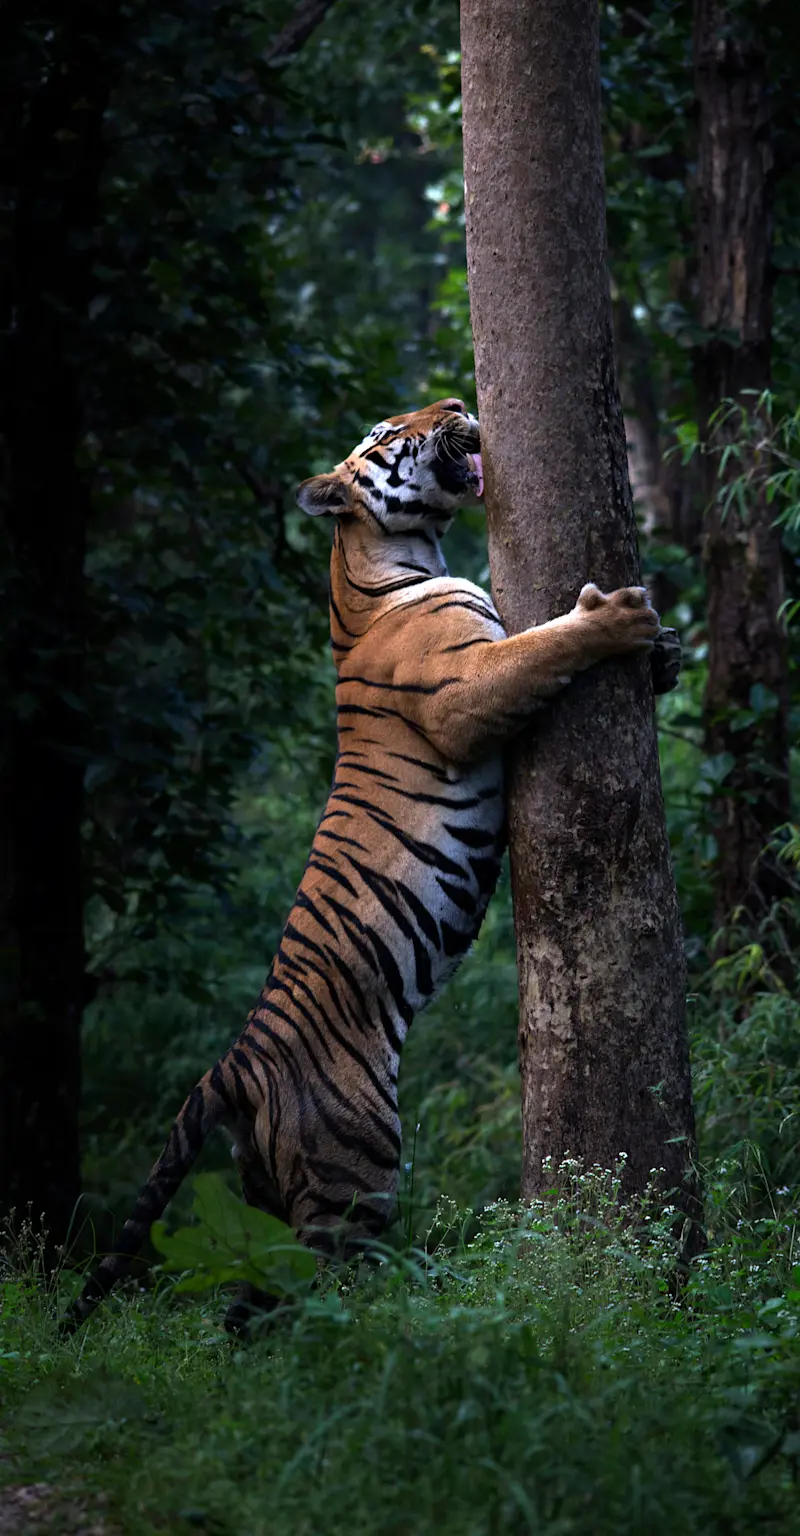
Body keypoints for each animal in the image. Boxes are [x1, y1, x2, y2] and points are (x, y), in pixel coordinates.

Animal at [68, 397, 680, 1332]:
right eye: (389, 434)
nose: (458, 404)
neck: (394, 558)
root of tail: (232, 1063)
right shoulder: (468, 689)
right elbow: (540, 647)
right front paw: (617, 617)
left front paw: (667, 653)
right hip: (355, 1166)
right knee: (309, 1298)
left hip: (270, 1192)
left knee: (248, 1310)